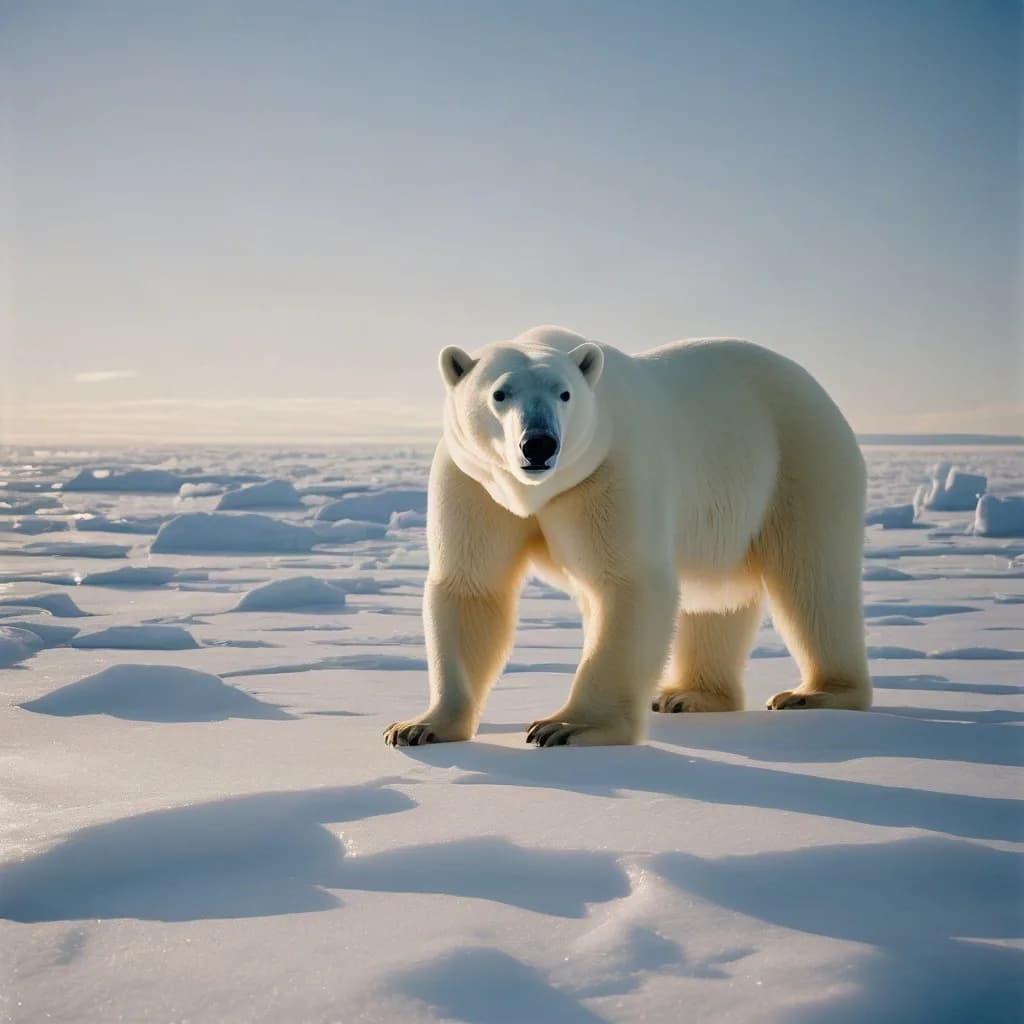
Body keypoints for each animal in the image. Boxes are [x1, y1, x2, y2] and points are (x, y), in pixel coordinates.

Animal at [384, 325, 871, 748]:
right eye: (499, 393)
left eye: (564, 393)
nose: (538, 444)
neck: (535, 491)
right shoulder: (476, 482)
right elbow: (471, 587)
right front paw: (419, 727)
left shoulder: (609, 469)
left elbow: (628, 582)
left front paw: (565, 727)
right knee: (716, 599)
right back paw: (686, 695)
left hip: (802, 458)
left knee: (813, 579)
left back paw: (816, 693)